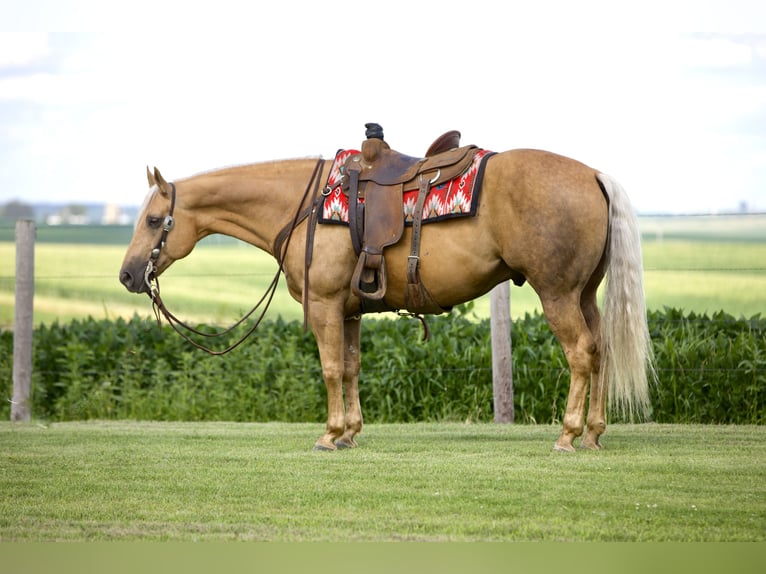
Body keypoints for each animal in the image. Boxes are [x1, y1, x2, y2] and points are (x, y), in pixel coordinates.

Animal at [118, 138, 656, 454]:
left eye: (153, 220)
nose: (127, 274)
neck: (305, 206)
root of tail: (594, 175)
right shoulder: (349, 310)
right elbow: (351, 368)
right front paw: (351, 433)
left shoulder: (324, 305)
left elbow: (330, 368)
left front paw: (329, 434)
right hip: (584, 294)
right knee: (602, 350)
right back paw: (594, 432)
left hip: (558, 294)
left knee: (581, 353)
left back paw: (568, 434)